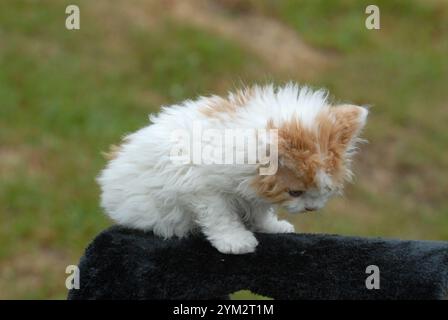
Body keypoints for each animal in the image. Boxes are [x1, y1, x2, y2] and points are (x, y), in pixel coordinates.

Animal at [98, 84, 368, 254]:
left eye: (326, 192)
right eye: (295, 192)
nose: (311, 208)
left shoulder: (252, 191)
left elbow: (259, 210)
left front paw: (273, 227)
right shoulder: (201, 188)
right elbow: (221, 216)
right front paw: (236, 241)